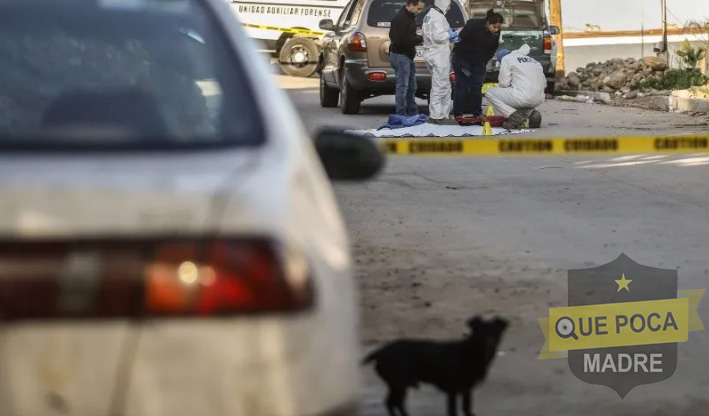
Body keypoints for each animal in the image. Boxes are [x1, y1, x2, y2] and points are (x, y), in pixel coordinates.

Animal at [362, 316, 506, 416]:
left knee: (393, 403)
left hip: (397, 385)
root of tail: (380, 352)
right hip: (399, 384)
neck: (470, 352)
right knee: (393, 403)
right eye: (480, 333)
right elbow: (453, 411)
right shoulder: (453, 391)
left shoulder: (467, 390)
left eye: (495, 333)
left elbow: (467, 409)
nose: (490, 344)